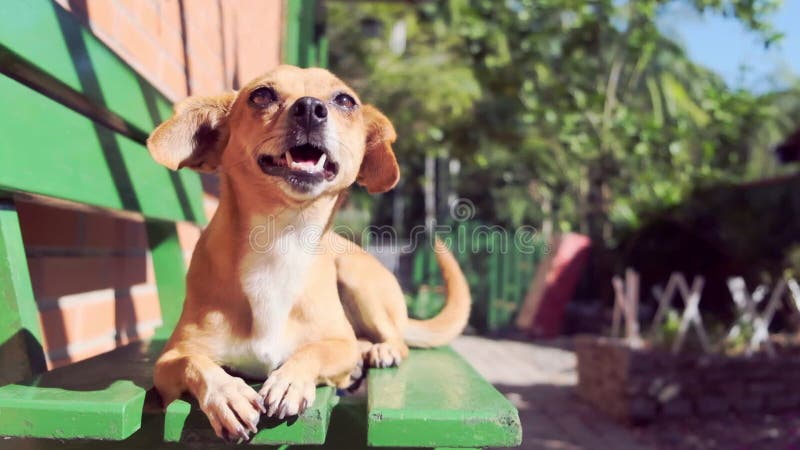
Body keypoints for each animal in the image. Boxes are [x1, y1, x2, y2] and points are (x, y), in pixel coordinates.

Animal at [145, 65, 468, 442]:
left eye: (345, 100)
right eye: (261, 95)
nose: (311, 108)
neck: (279, 240)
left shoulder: (337, 343)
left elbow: (314, 349)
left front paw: (289, 379)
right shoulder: (169, 360)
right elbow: (195, 363)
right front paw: (226, 394)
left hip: (357, 279)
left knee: (397, 340)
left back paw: (380, 350)